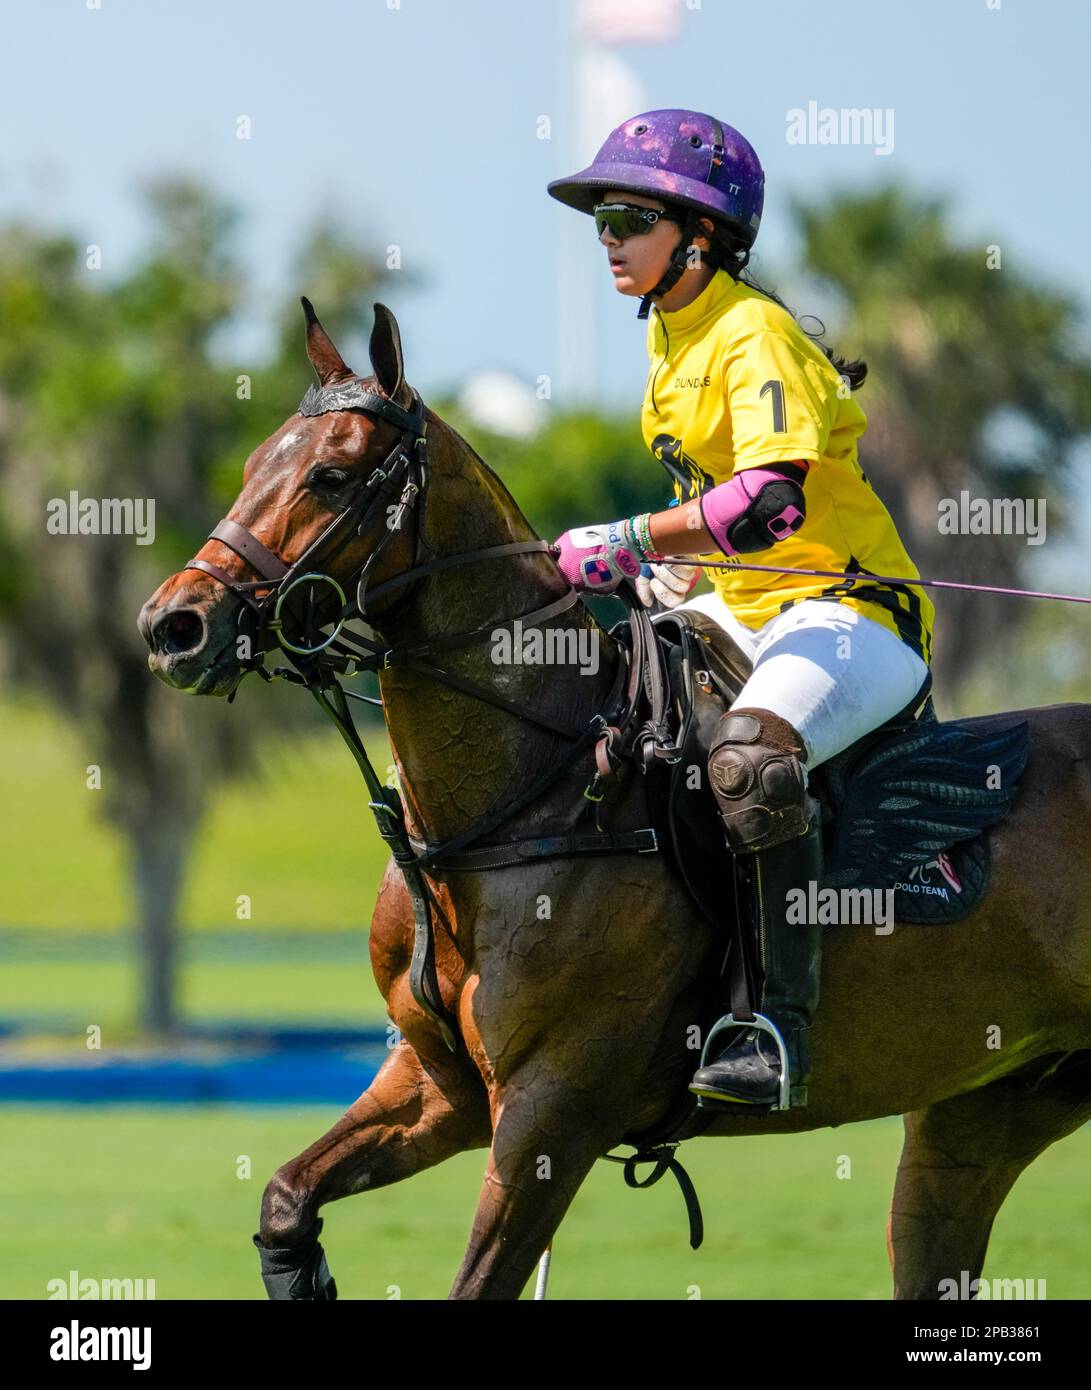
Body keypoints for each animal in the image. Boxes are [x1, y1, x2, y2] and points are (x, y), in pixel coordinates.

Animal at [140, 298, 1089, 1295]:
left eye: (330, 475)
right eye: (254, 463)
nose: (174, 626)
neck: (514, 807)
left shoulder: (552, 1112)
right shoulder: (440, 1086)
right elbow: (286, 1199)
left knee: (754, 773)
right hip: (984, 1107)